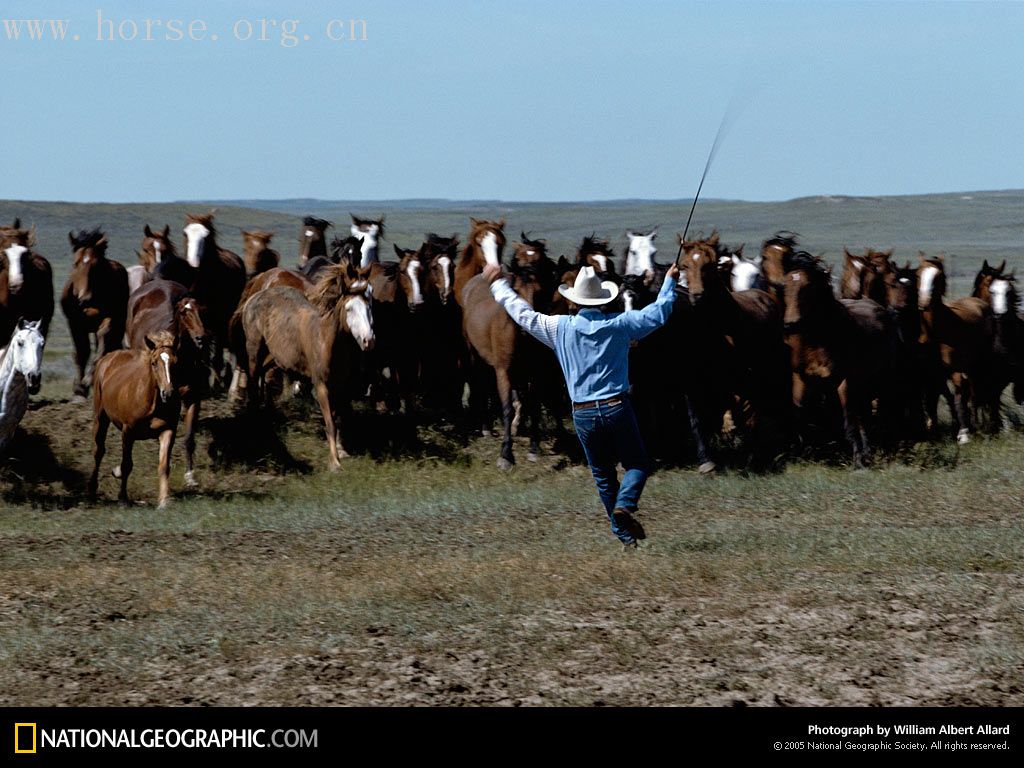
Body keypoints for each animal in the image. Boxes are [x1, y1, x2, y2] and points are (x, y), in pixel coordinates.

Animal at [60, 228, 130, 397]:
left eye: (96, 265)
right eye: (75, 263)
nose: (84, 299)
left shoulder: (110, 318)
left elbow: (102, 339)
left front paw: (87, 380)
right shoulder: (74, 323)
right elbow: (82, 351)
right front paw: (79, 388)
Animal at [126, 280, 207, 487]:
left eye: (202, 310)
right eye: (184, 312)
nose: (201, 337)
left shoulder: (193, 397)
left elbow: (189, 438)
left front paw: (190, 476)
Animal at [917, 256, 995, 442]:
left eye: (938, 276)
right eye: (918, 274)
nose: (923, 302)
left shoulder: (956, 370)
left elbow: (958, 398)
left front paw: (964, 433)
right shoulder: (933, 373)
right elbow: (933, 401)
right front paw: (934, 430)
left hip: (980, 363)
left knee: (975, 392)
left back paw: (981, 424)